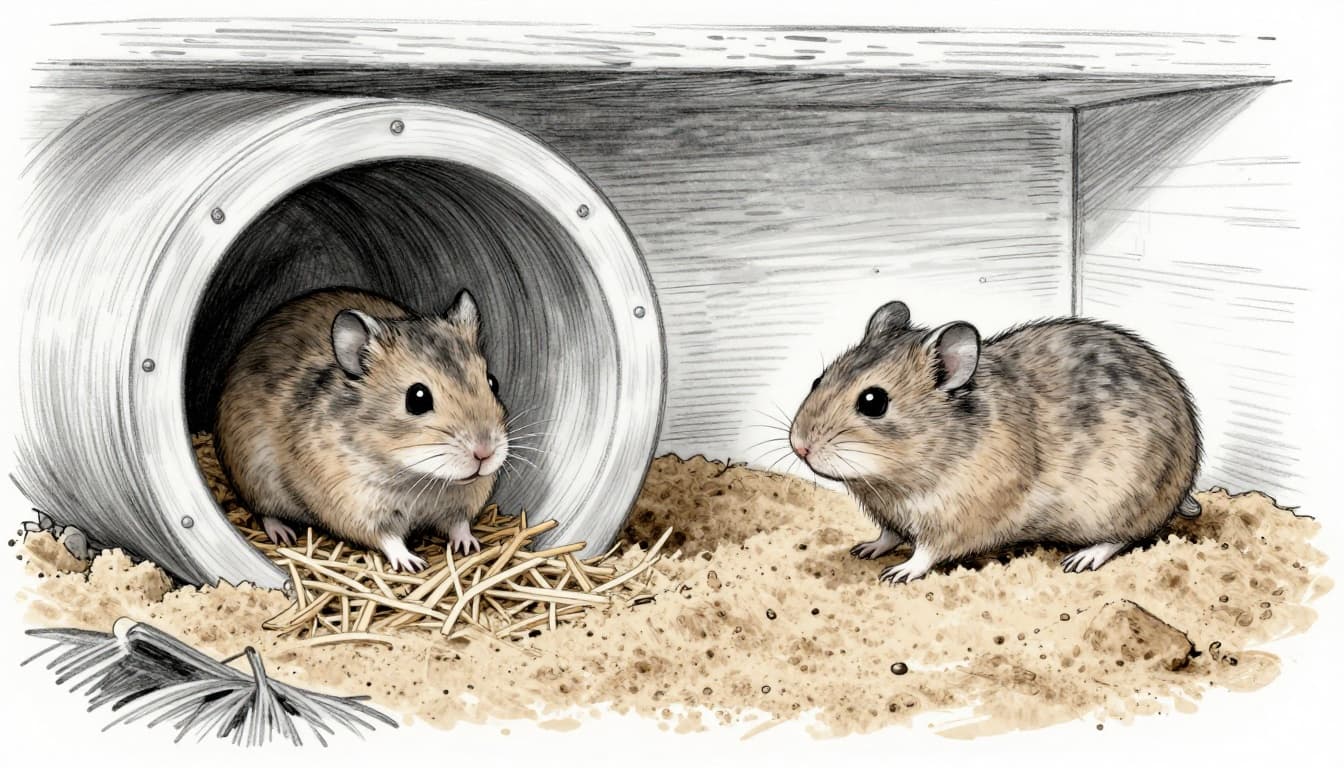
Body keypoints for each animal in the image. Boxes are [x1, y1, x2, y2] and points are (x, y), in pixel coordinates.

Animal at [214, 288, 510, 572]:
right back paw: (282, 535)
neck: (419, 479)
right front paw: (412, 564)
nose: (484, 454)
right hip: (255, 479)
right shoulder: (355, 508)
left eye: (493, 382)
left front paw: (471, 546)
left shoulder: (460, 504)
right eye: (417, 398)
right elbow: (388, 538)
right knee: (265, 512)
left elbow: (458, 524)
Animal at [789, 300, 1201, 584]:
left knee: (1125, 537)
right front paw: (866, 549)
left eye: (873, 402)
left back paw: (1081, 559)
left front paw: (898, 573)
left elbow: (926, 552)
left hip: (1121, 505)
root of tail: (1184, 483)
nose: (799, 446)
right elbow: (887, 535)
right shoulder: (889, 515)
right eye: (818, 379)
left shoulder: (956, 519)